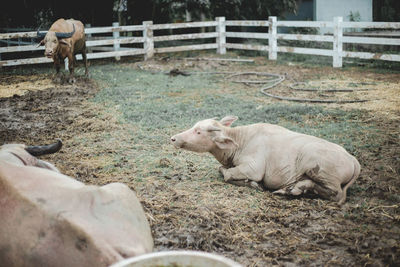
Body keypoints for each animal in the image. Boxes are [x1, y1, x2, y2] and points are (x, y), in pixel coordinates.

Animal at [170, 115, 360, 205]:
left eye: (198, 131)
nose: (173, 138)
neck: (241, 141)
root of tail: (353, 160)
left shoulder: (253, 168)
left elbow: (227, 174)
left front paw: (253, 184)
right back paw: (290, 189)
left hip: (321, 171)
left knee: (335, 193)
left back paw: (293, 190)